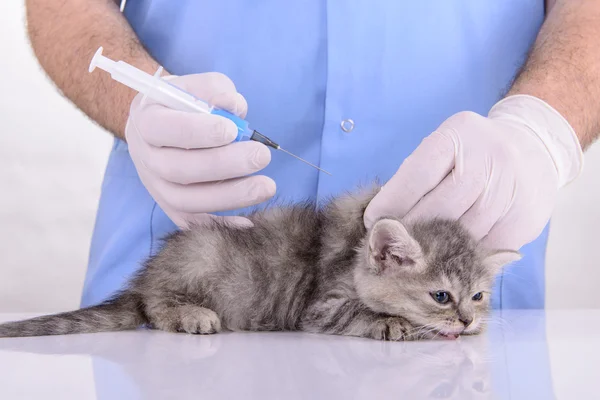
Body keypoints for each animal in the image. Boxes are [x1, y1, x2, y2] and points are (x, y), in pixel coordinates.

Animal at [0, 187, 516, 340]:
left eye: (478, 296)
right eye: (441, 296)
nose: (467, 321)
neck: (356, 254)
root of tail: (147, 274)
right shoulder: (321, 307)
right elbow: (359, 314)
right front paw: (394, 323)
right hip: (203, 251)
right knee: (155, 307)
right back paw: (193, 315)